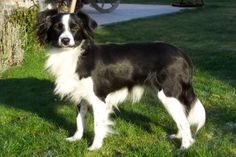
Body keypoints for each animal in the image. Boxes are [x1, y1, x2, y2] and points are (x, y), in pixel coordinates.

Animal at [36, 7, 205, 150]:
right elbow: (79, 120)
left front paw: (95, 147)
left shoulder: (98, 98)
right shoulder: (80, 96)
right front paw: (76, 138)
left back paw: (185, 146)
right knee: (183, 115)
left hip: (168, 94)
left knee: (184, 121)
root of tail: (181, 52)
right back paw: (178, 136)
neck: (76, 55)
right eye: (58, 27)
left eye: (75, 27)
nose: (65, 40)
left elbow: (97, 125)